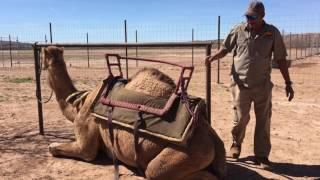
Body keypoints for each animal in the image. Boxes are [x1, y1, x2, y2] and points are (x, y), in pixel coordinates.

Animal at [42, 45, 226, 179]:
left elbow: (56, 148)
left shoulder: (85, 141)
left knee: (154, 172)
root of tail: (214, 140)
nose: (42, 64)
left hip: (185, 155)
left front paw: (52, 146)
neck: (79, 104)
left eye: (42, 56)